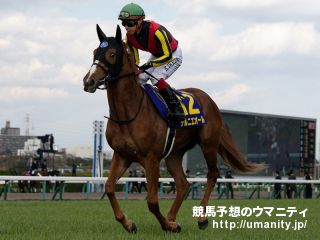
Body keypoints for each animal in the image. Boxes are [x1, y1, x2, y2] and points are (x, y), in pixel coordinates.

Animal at [83, 25, 264, 233]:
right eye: (95, 52)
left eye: (112, 54)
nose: (88, 81)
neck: (129, 111)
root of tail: (210, 100)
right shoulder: (122, 155)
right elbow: (109, 188)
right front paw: (130, 224)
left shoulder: (151, 158)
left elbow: (152, 202)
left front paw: (166, 225)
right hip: (174, 154)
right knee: (183, 184)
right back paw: (172, 218)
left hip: (208, 144)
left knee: (212, 175)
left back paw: (201, 218)